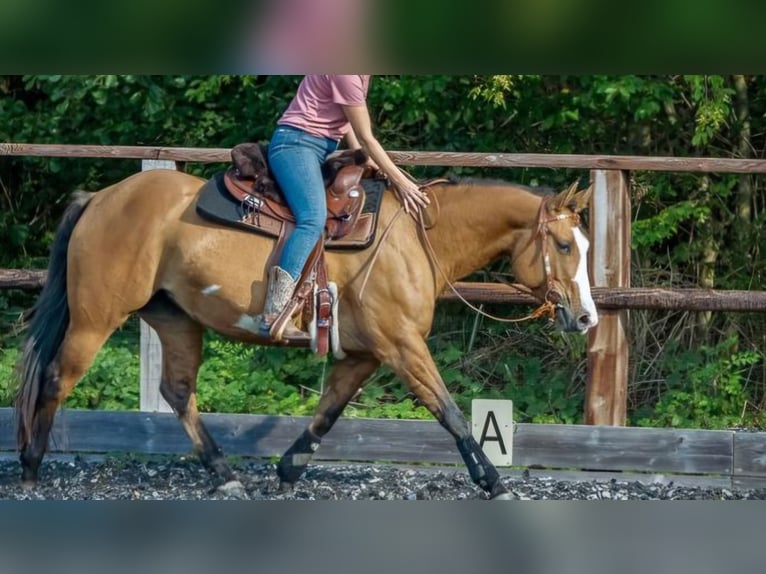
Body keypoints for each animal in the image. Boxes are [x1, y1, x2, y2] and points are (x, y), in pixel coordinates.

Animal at [14, 167, 597, 500]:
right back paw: (30, 468)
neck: (413, 237)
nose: (586, 317)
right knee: (56, 378)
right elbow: (449, 411)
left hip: (175, 320)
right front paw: (494, 484)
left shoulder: (365, 353)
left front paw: (289, 468)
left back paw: (224, 474)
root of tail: (100, 198)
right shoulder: (402, 345)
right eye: (565, 245)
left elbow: (329, 410)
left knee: (177, 392)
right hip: (96, 317)